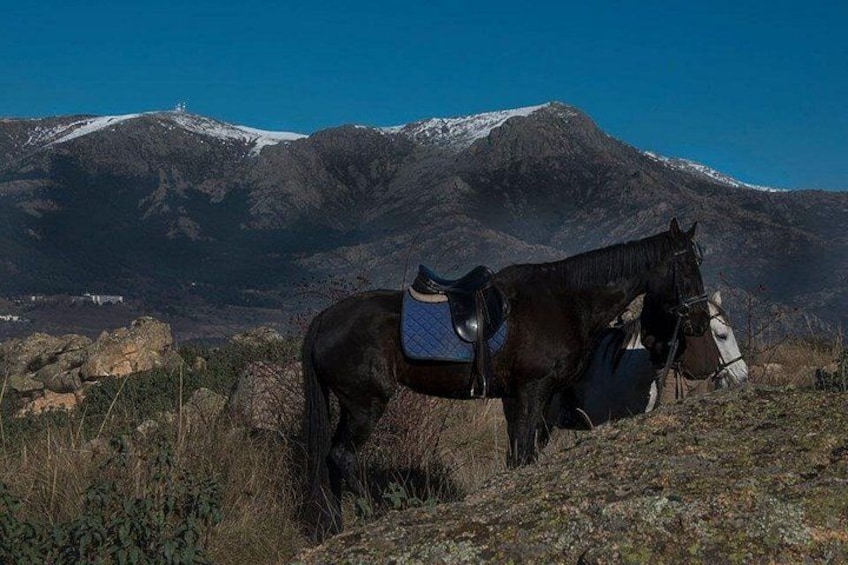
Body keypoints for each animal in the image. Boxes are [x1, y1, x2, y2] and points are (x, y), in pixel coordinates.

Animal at [301, 218, 709, 540]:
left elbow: (519, 456)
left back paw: (336, 527)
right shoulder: (533, 391)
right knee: (343, 456)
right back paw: (374, 516)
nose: (700, 322)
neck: (566, 300)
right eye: (687, 267)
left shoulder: (520, 398)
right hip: (365, 403)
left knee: (332, 459)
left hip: (351, 405)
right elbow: (525, 454)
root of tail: (324, 318)